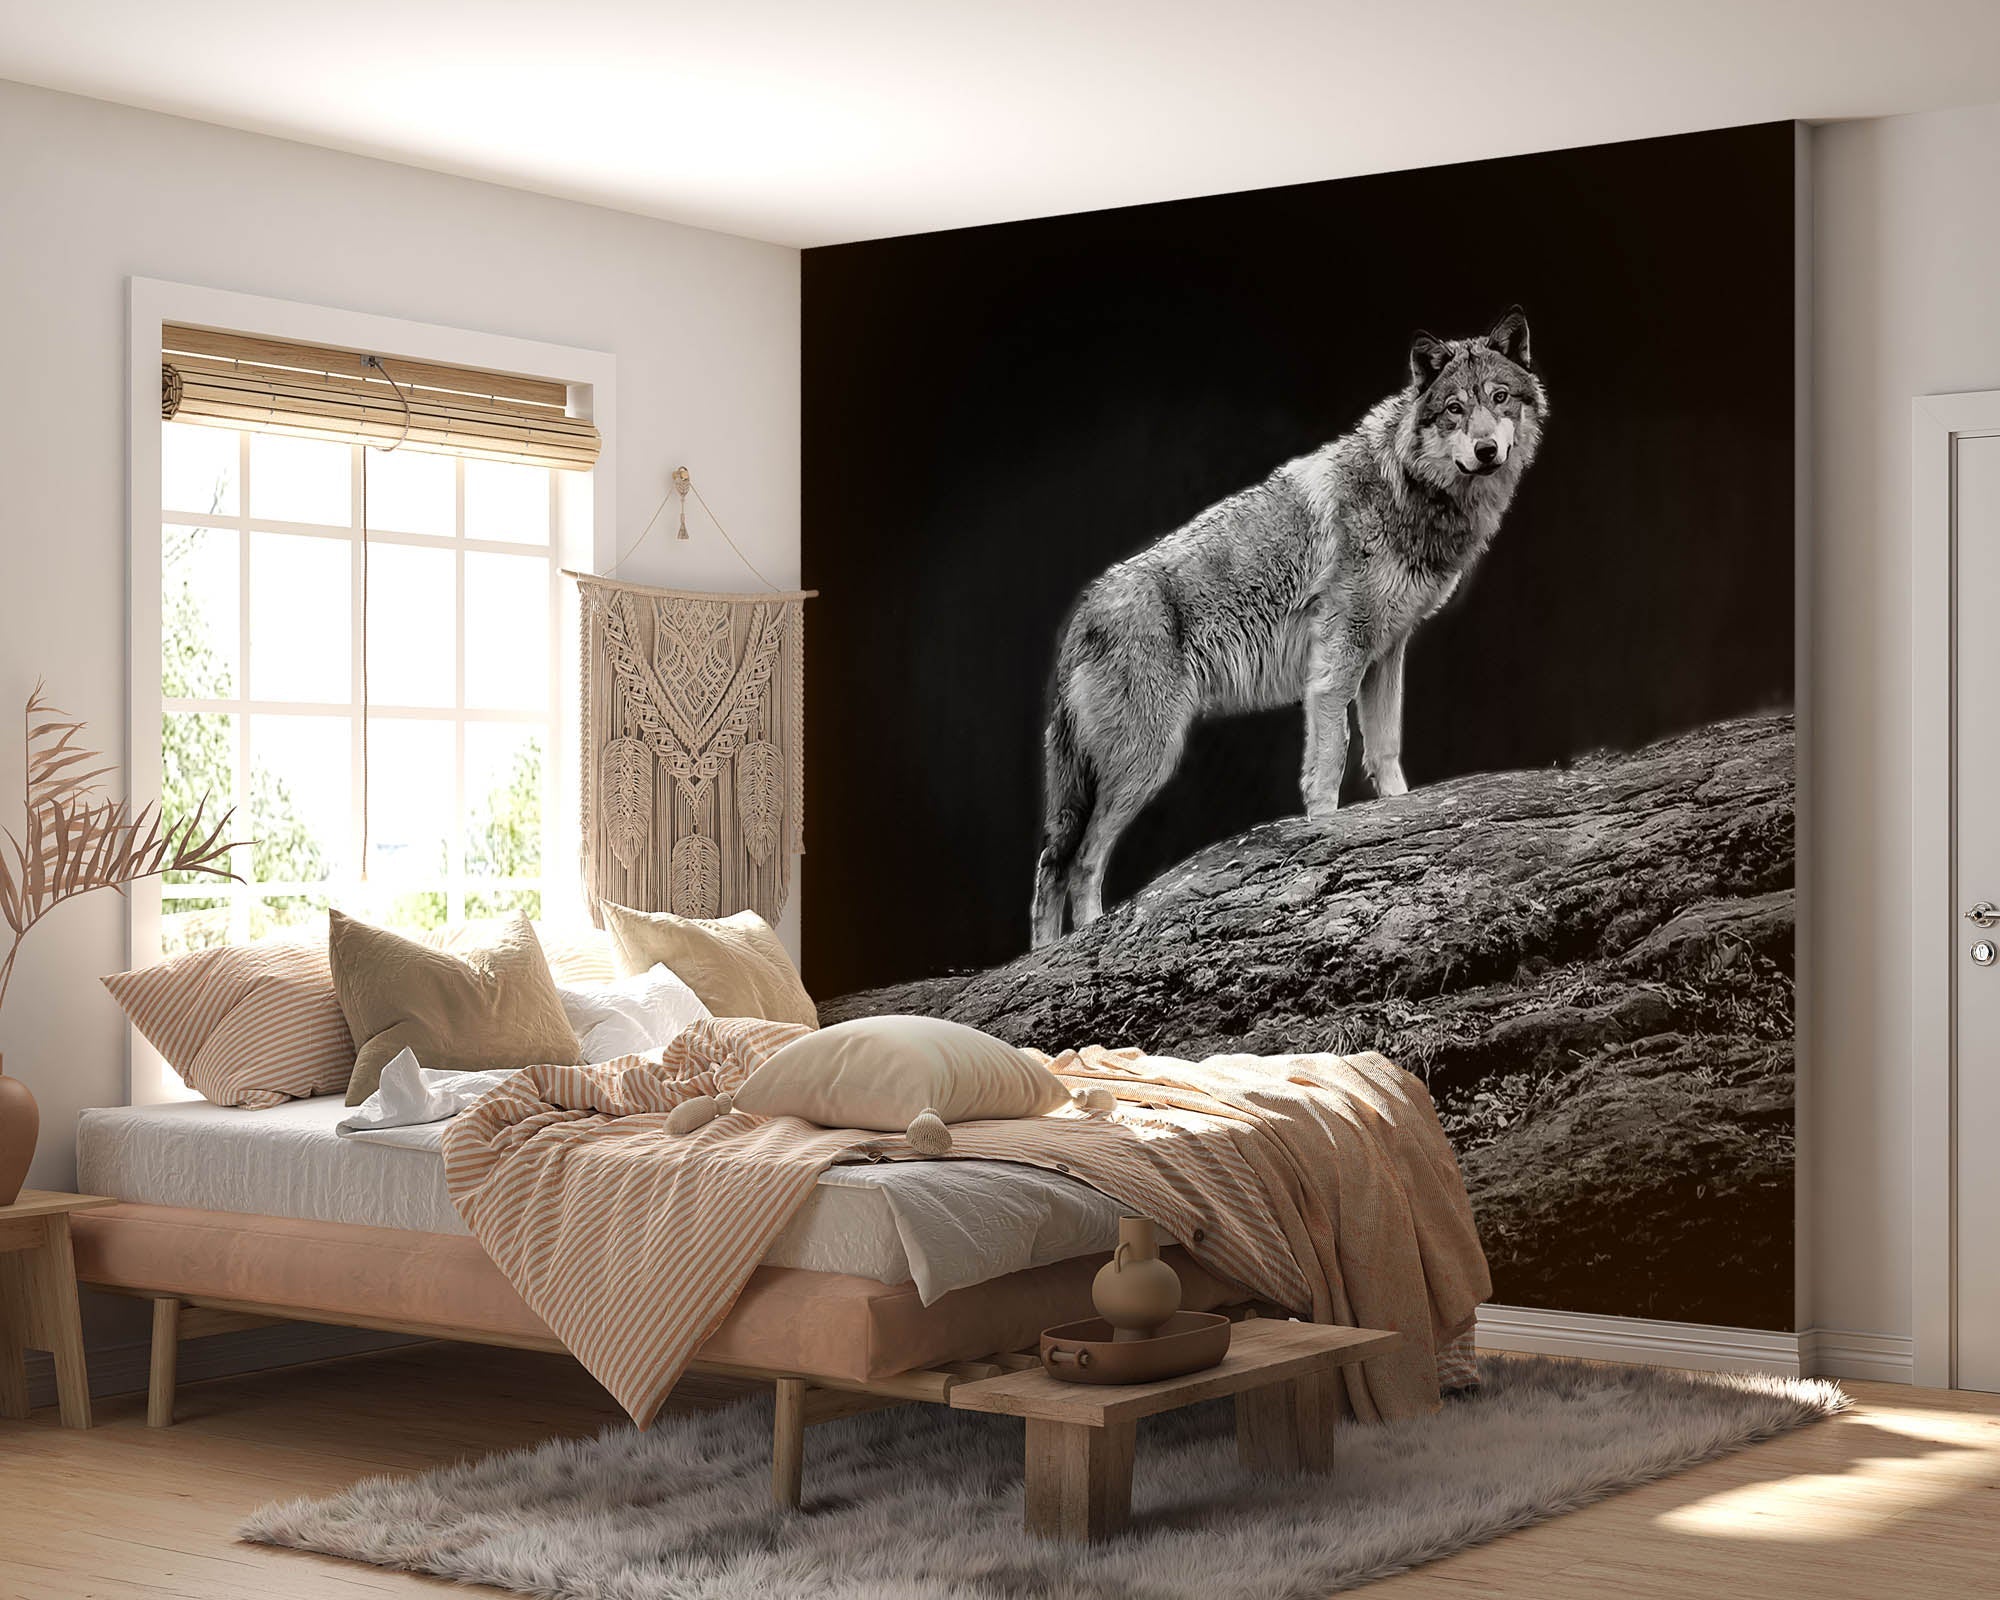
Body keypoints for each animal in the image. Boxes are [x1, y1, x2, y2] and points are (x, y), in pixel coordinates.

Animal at [1030, 307, 1545, 948]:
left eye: (1499, 398)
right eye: (1454, 407)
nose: (1485, 449)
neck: (1405, 485)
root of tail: (1082, 613)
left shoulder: (1386, 653)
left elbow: (1386, 751)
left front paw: (1399, 814)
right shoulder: (1336, 665)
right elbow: (1330, 760)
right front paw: (1325, 830)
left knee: (1050, 865)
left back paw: (1042, 960)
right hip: (1147, 762)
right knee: (1078, 862)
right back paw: (1081, 944)